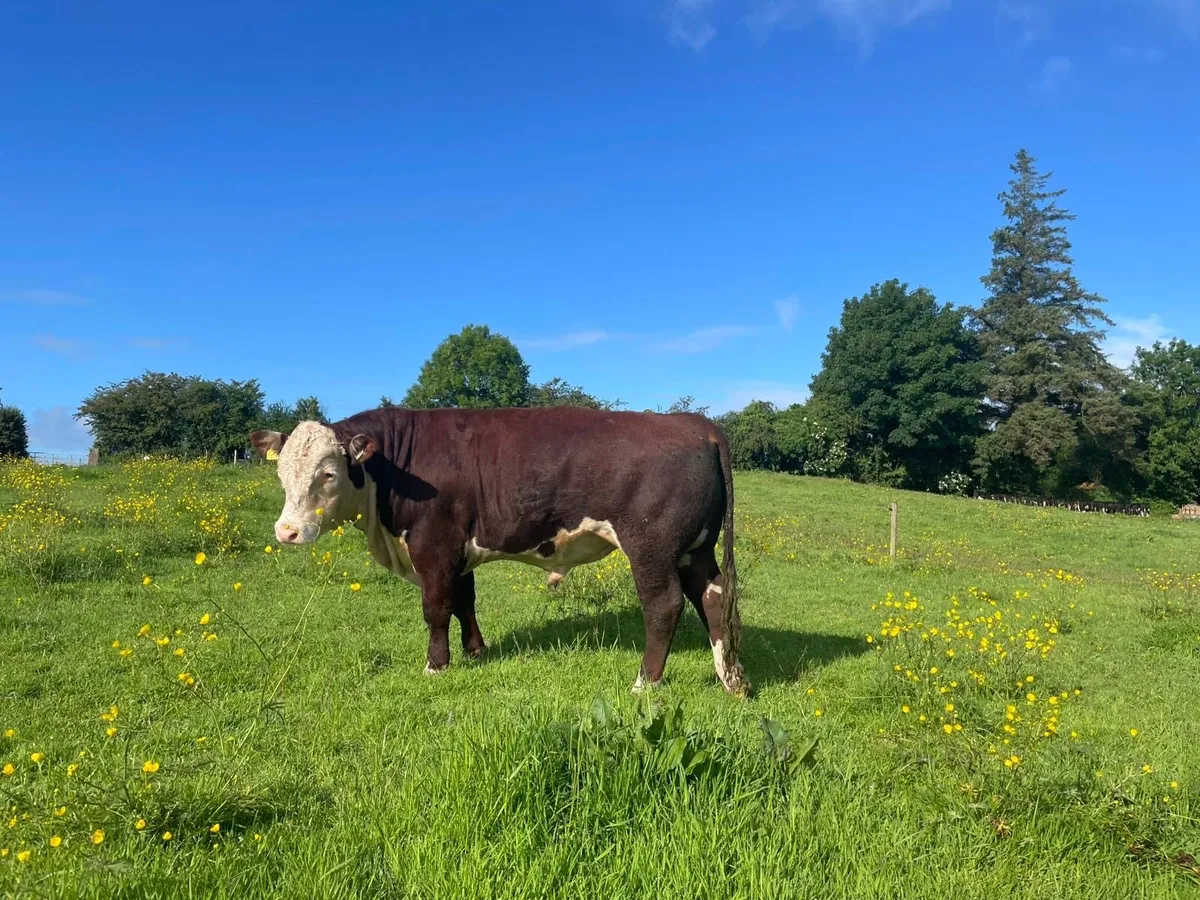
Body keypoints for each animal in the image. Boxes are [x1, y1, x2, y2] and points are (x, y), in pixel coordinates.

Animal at [249, 406, 749, 697]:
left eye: (328, 472)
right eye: (281, 473)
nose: (286, 531)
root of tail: (695, 423)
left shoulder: (434, 542)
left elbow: (436, 607)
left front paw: (436, 665)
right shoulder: (457, 549)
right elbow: (464, 601)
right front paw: (475, 650)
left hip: (652, 547)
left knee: (664, 605)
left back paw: (645, 682)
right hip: (695, 549)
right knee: (713, 598)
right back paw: (731, 677)